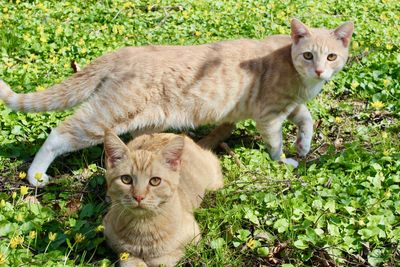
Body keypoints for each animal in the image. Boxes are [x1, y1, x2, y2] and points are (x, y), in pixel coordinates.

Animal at [0, 18, 354, 187]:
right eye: (308, 55)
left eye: (331, 57)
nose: (320, 70)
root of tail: (122, 52)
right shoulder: (268, 115)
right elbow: (276, 143)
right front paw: (284, 161)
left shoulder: (290, 106)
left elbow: (306, 118)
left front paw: (304, 145)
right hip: (106, 114)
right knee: (59, 134)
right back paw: (36, 176)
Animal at [101, 132, 223, 267]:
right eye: (126, 179)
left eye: (155, 181)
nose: (139, 196)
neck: (143, 227)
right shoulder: (110, 236)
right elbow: (127, 255)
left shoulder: (194, 236)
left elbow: (165, 258)